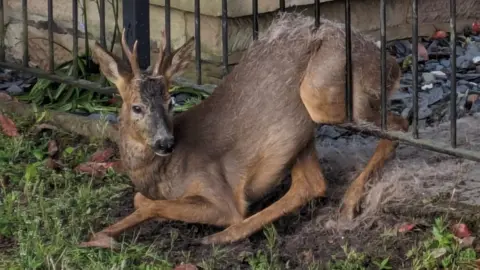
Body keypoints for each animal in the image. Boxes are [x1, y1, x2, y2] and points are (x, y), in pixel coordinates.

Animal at [79, 12, 408, 249]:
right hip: (299, 125)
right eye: (137, 107)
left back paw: (348, 203)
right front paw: (97, 237)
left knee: (399, 125)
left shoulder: (217, 191)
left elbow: (148, 204)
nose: (165, 142)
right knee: (311, 183)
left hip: (323, 91)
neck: (163, 173)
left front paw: (101, 237)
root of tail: (392, 65)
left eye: (171, 101)